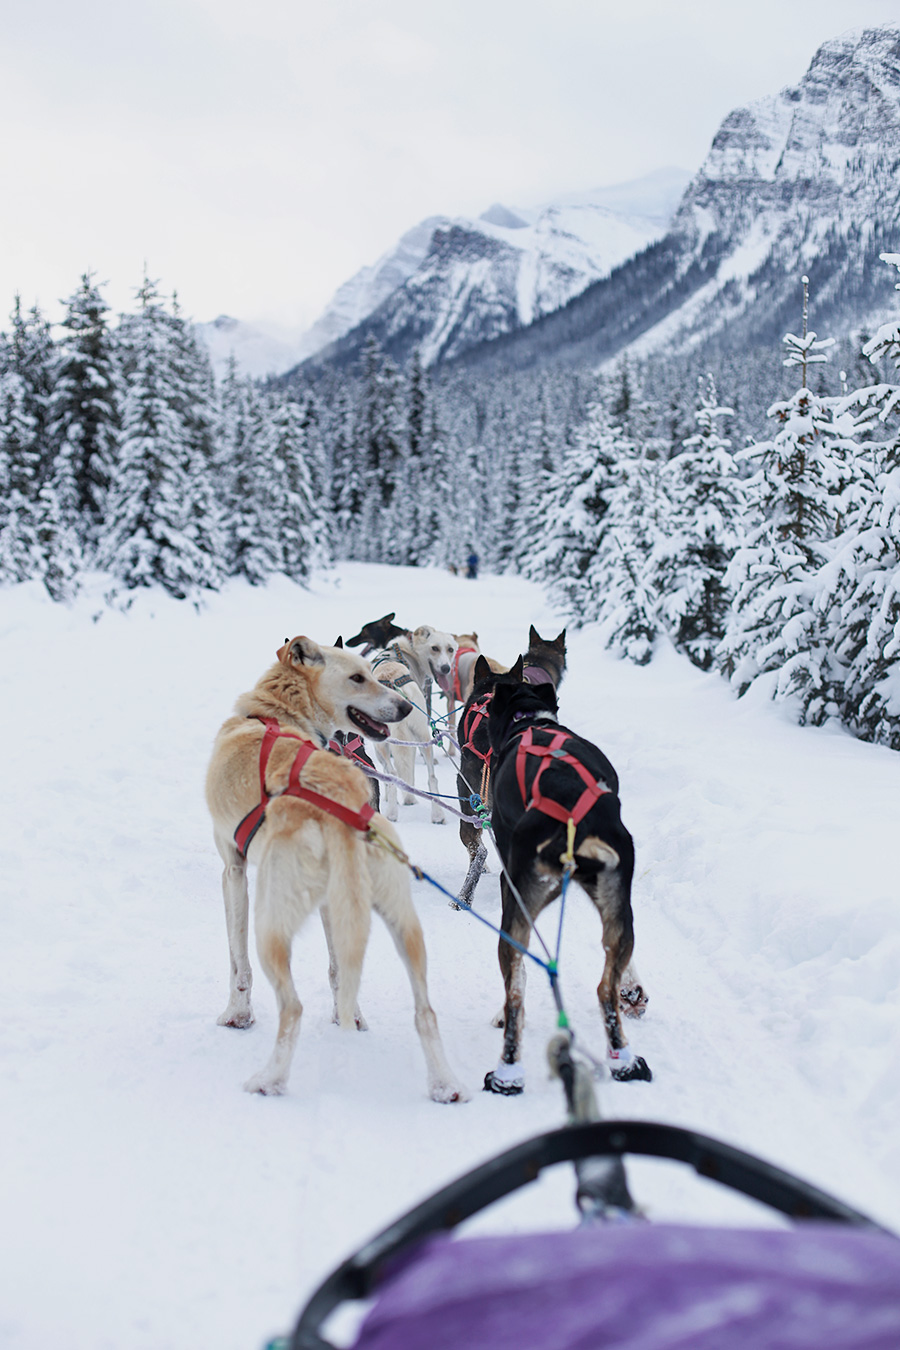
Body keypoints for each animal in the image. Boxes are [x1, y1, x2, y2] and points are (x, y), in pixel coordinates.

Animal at [483, 680, 650, 1090]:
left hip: (517, 907)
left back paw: (506, 1074)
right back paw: (626, 1063)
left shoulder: (507, 880)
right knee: (605, 988)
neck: (530, 720)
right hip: (617, 902)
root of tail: (576, 819)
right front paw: (633, 991)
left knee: (515, 992)